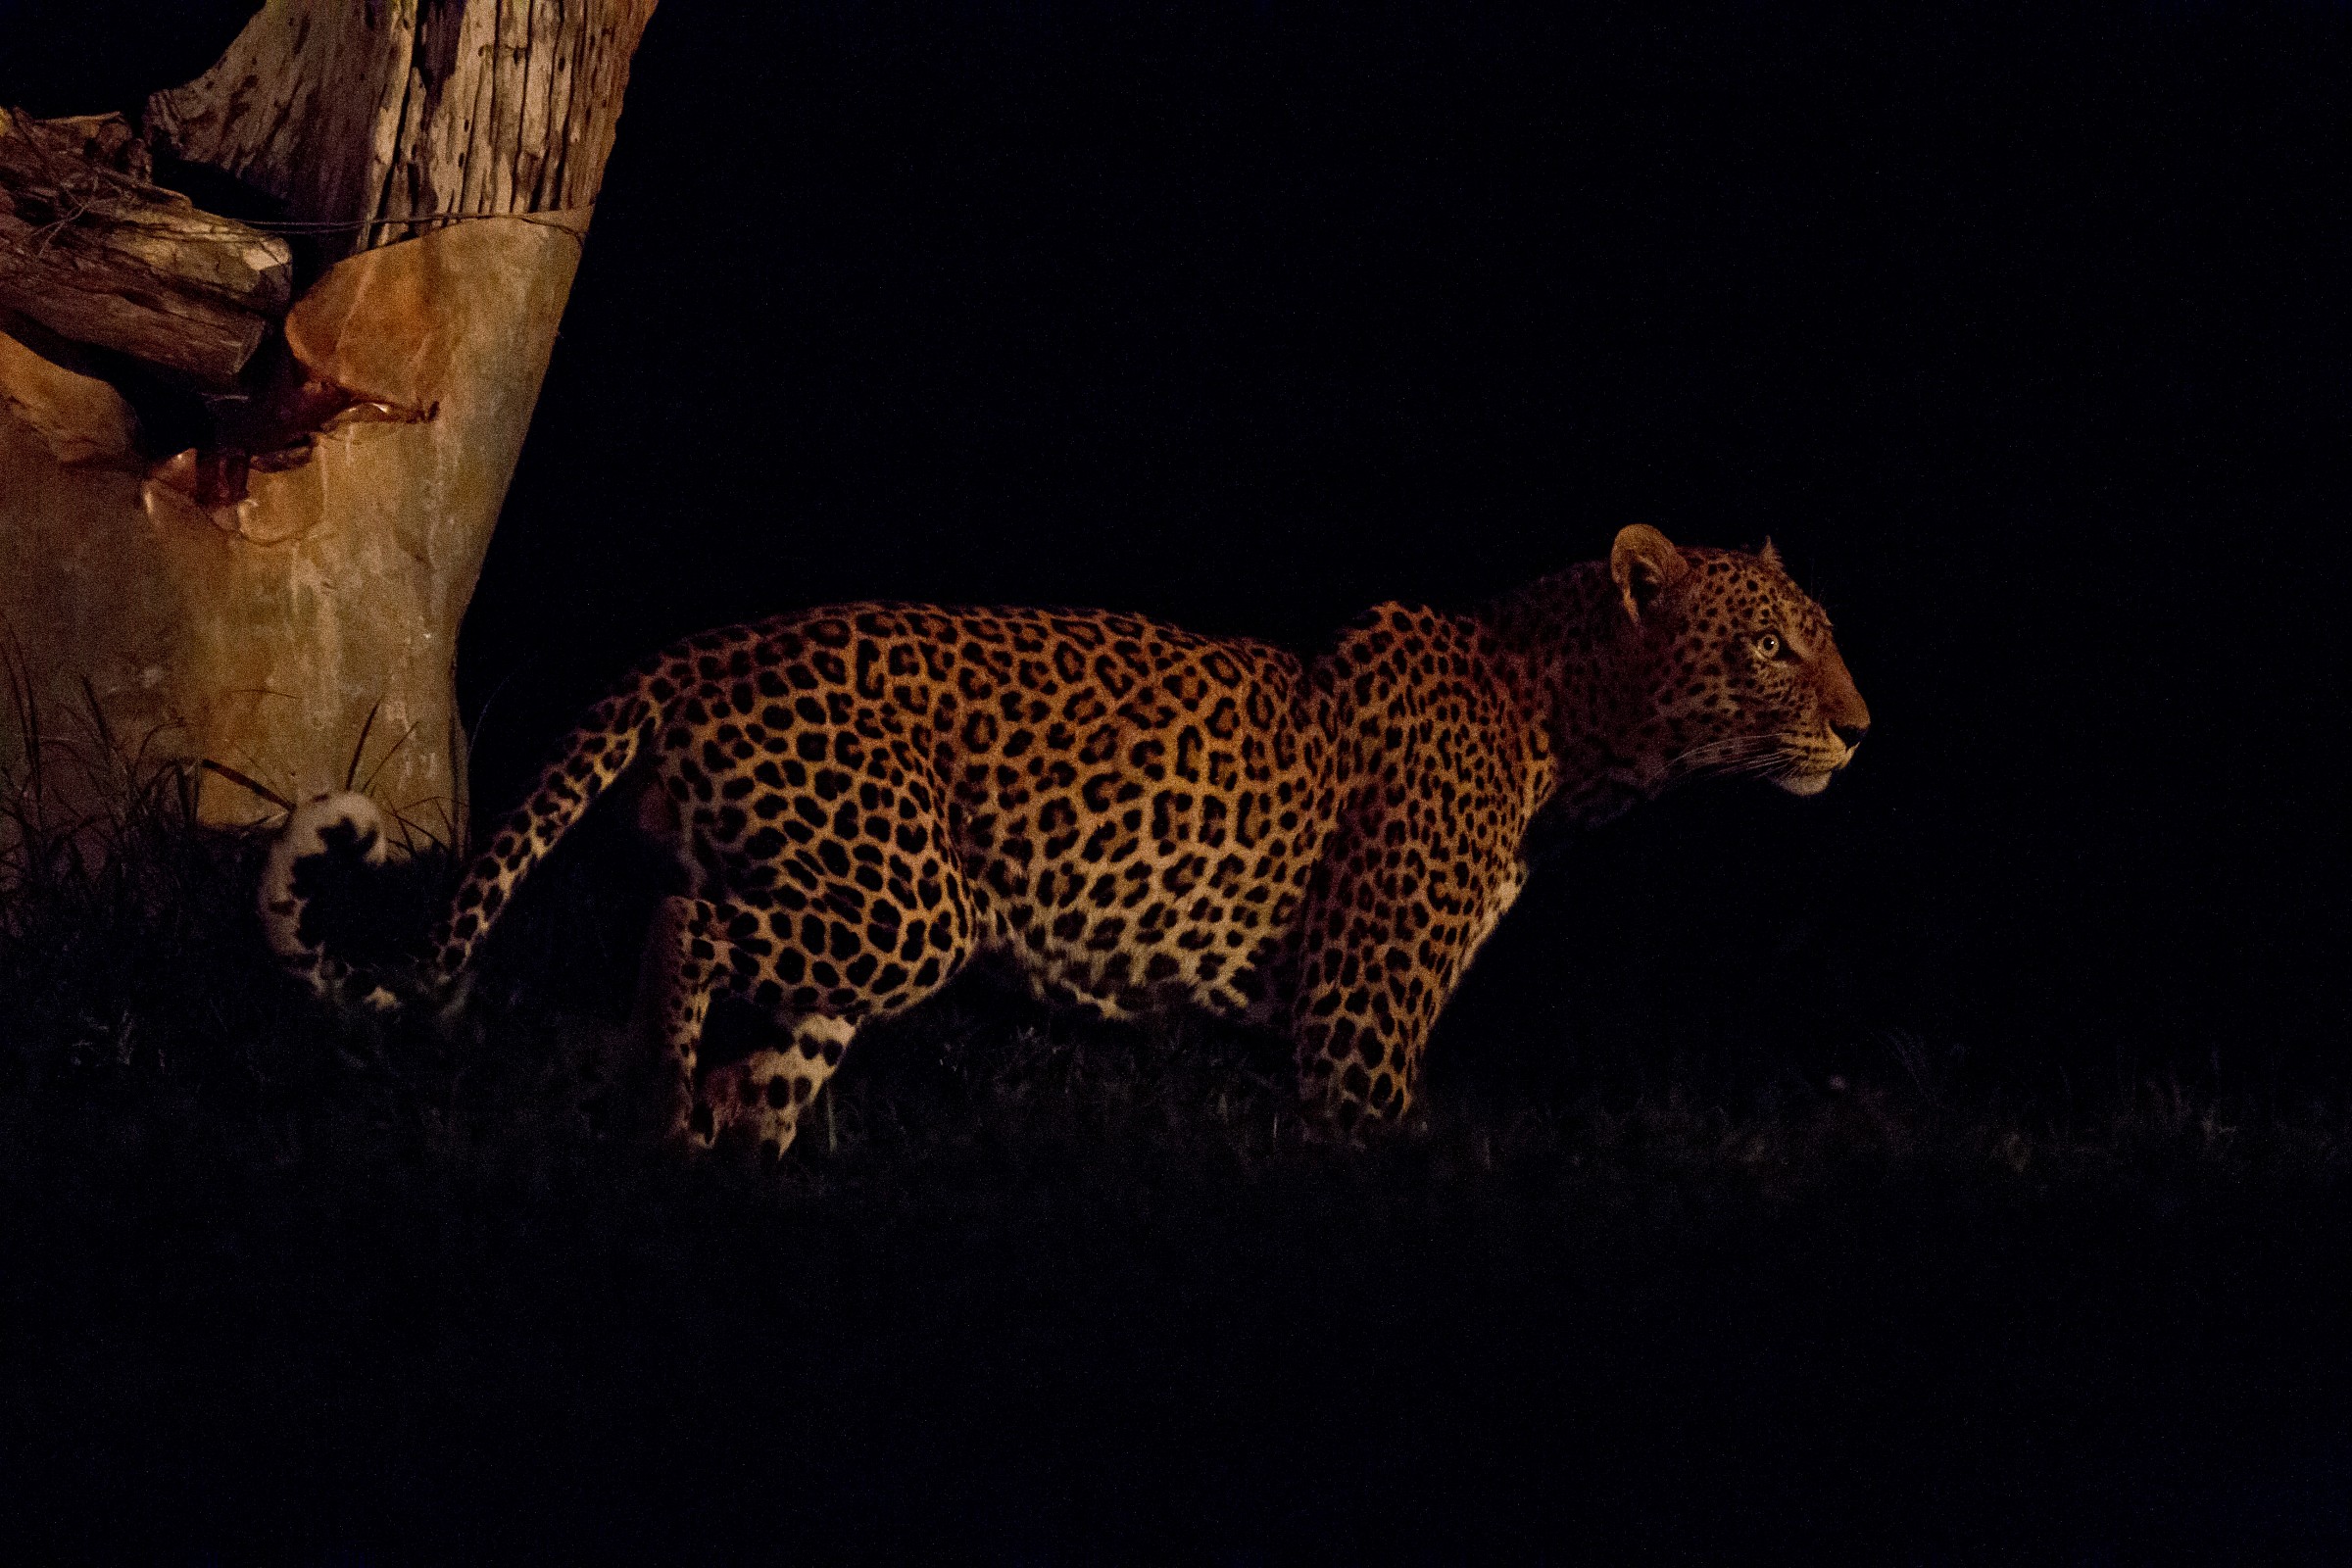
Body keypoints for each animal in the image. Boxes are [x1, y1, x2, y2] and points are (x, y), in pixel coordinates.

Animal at [262, 525, 1869, 1157]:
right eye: (1775, 647)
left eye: (1822, 637)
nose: (1863, 728)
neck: (1572, 733)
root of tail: (698, 648)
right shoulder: (1358, 1033)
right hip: (908, 903)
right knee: (683, 929)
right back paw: (655, 1101)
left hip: (850, 935)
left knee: (756, 1051)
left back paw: (725, 1168)